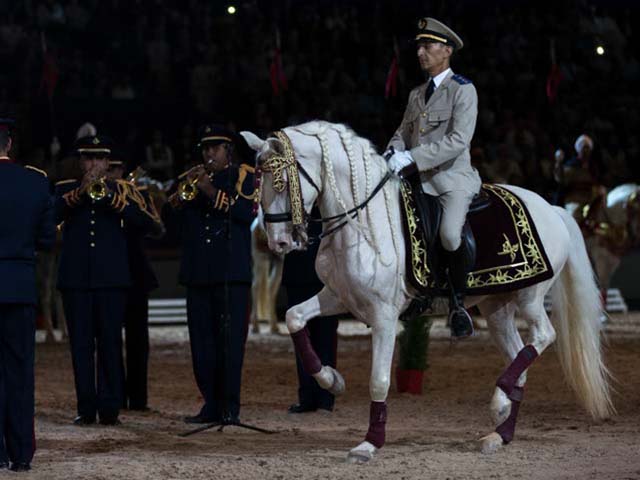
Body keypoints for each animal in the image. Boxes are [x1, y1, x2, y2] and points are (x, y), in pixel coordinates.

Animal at [240, 121, 614, 463]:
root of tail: (552, 209)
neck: (364, 222)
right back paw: (500, 429)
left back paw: (498, 402)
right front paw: (331, 380)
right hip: (498, 308)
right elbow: (293, 317)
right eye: (258, 184)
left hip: (530, 297)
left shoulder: (384, 315)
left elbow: (379, 379)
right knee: (519, 357)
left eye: (281, 181)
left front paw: (370, 443)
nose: (278, 243)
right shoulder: (338, 296)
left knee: (544, 335)